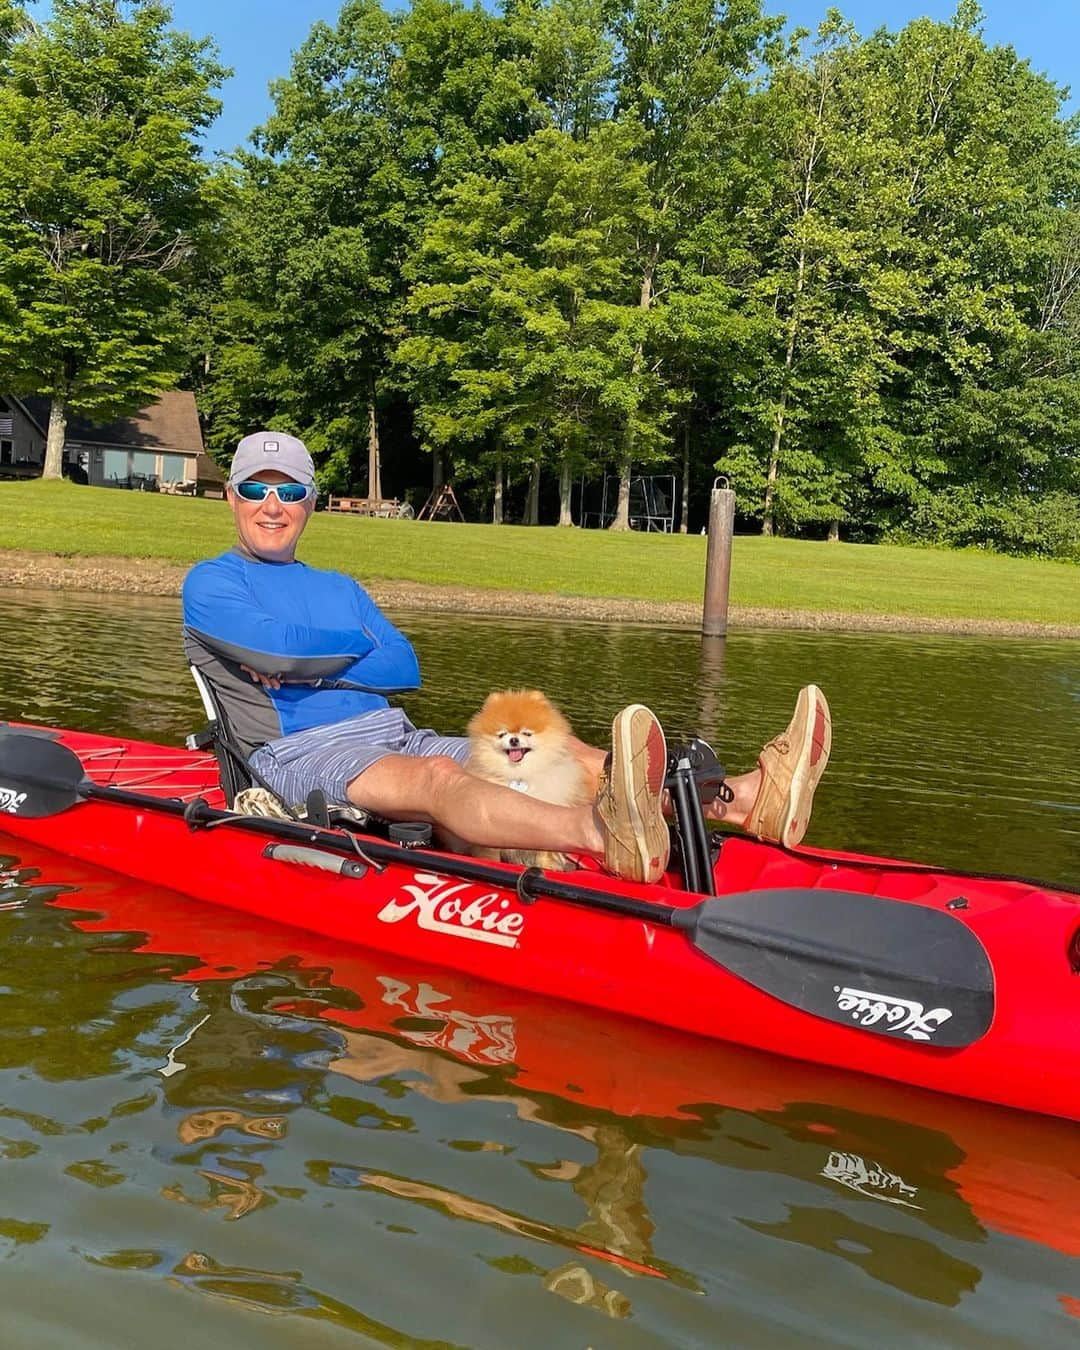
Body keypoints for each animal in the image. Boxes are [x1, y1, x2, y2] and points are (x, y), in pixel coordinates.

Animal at [461, 691, 585, 869]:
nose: (514, 740)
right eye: (502, 734)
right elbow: (490, 851)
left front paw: (547, 866)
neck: (519, 774)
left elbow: (544, 851)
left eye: (527, 733)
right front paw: (490, 861)